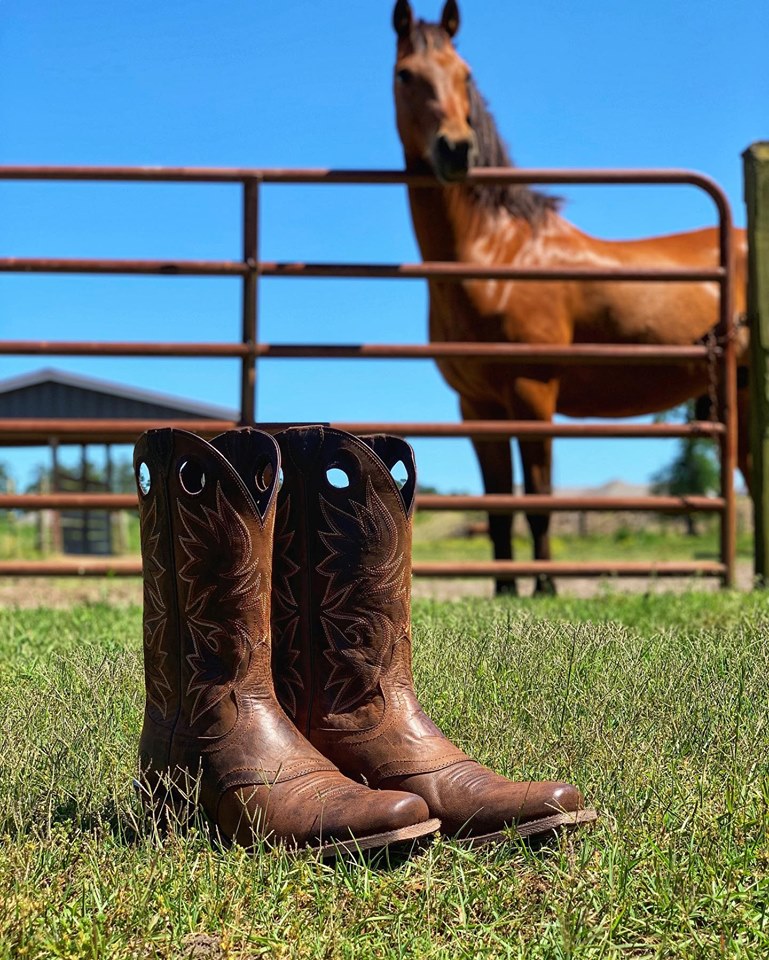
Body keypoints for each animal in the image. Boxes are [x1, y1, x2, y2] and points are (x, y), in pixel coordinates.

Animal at [390, 0, 744, 592]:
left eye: (465, 75)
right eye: (405, 75)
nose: (456, 149)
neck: (498, 255)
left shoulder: (533, 394)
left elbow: (538, 499)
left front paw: (546, 588)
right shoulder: (478, 406)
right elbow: (497, 506)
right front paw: (504, 591)